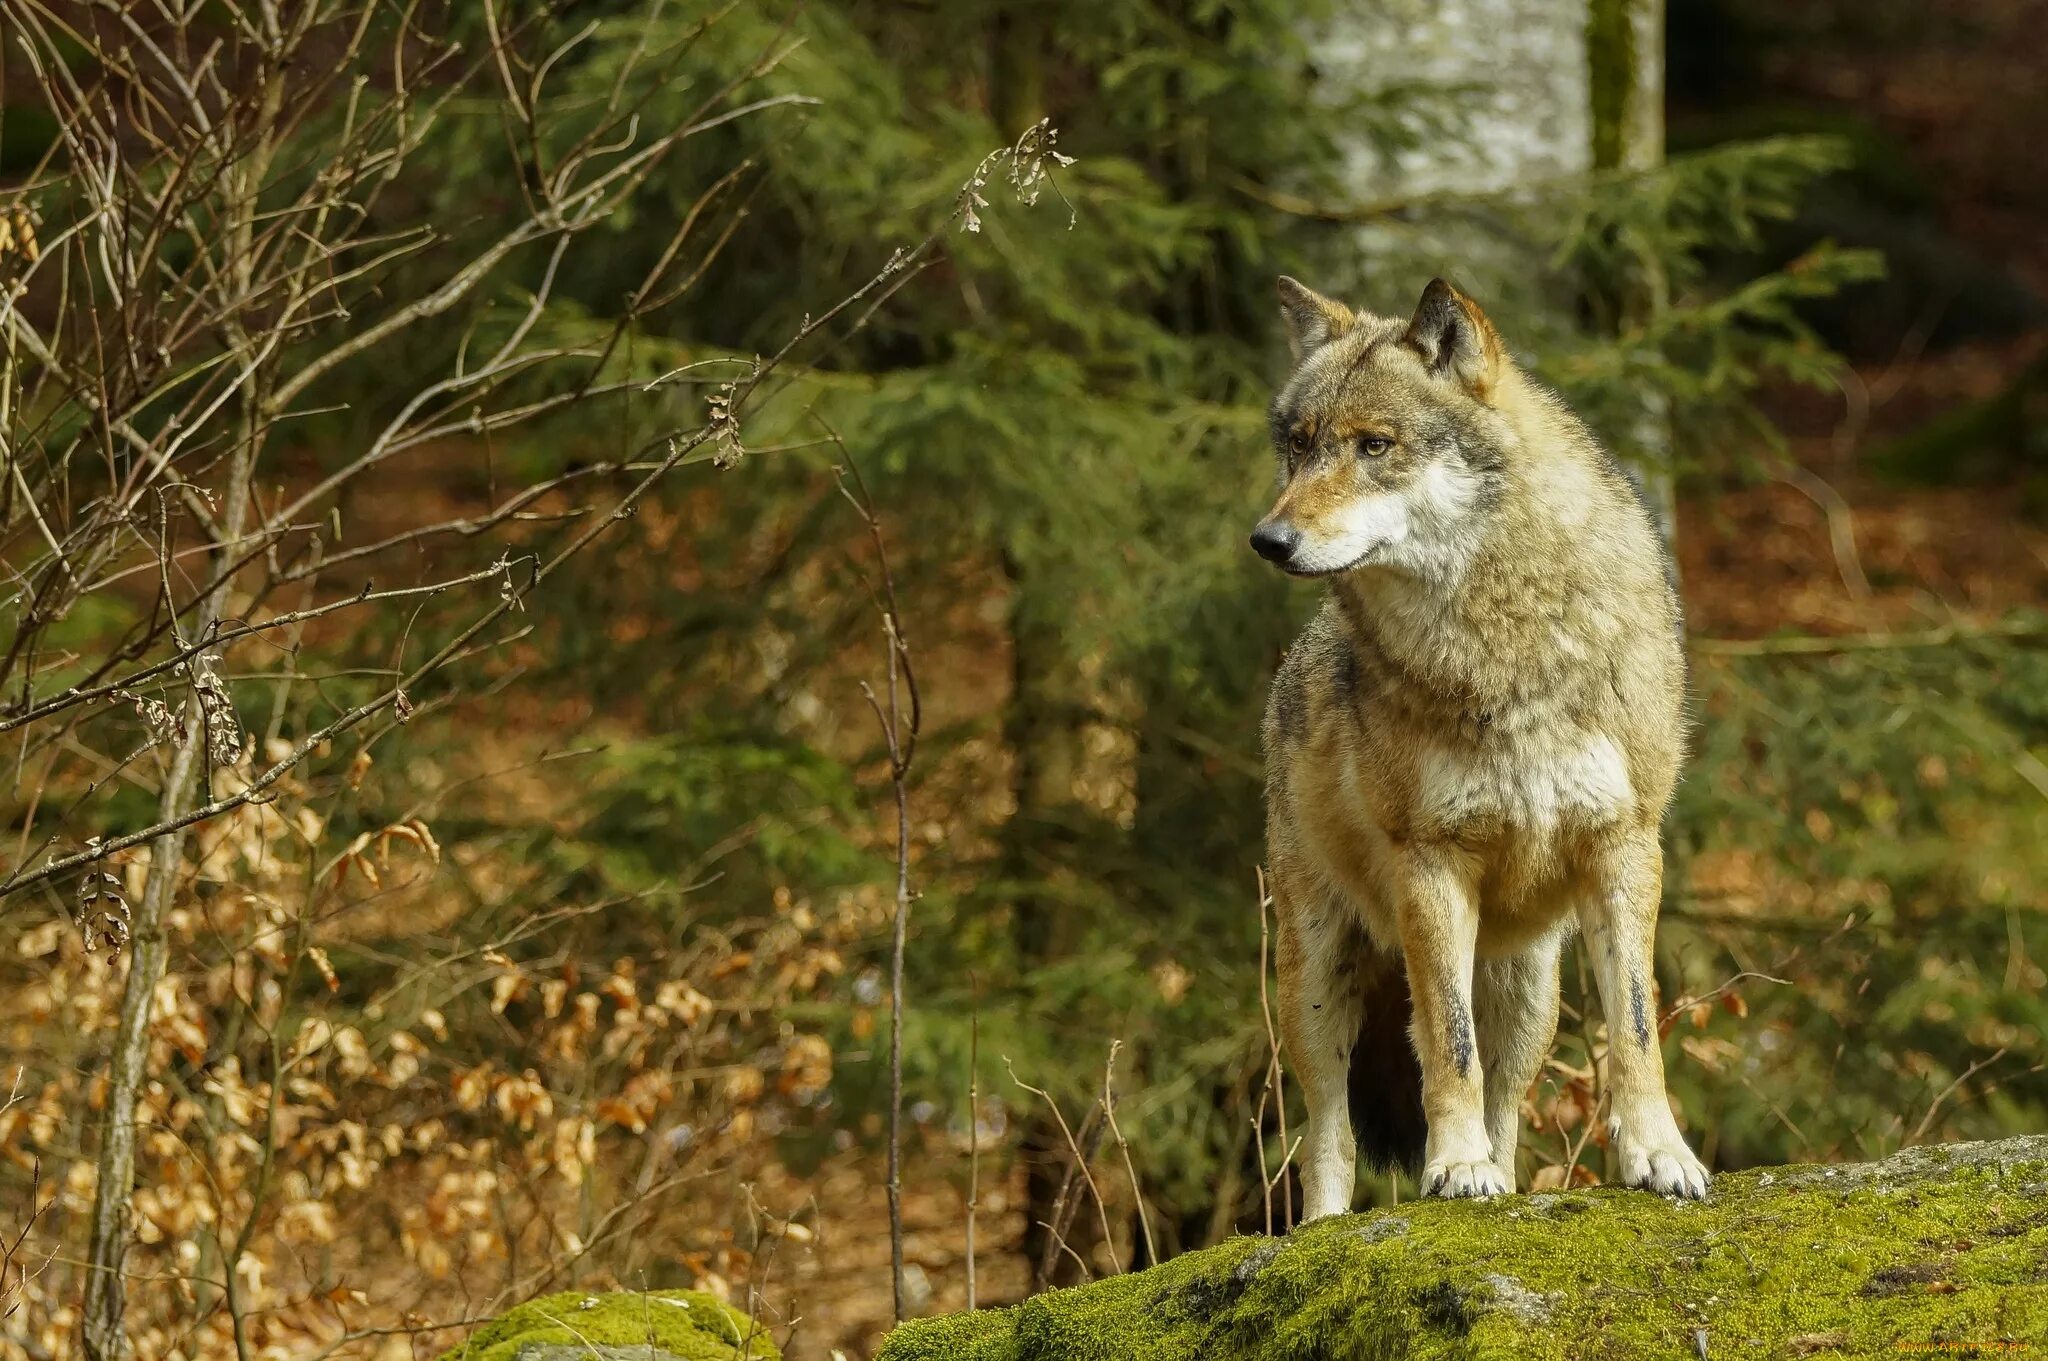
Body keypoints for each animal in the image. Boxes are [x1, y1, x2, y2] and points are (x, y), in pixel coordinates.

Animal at [1253, 276, 1703, 1211]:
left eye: (1374, 445)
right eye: (1300, 447)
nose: (1268, 539)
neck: (1507, 644)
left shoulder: (1627, 845)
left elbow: (1637, 1029)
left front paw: (1660, 1154)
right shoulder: (1432, 863)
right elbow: (1447, 1049)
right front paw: (1454, 1165)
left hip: (1529, 991)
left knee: (1506, 1102)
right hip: (1316, 978)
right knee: (1329, 1132)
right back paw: (1328, 1221)